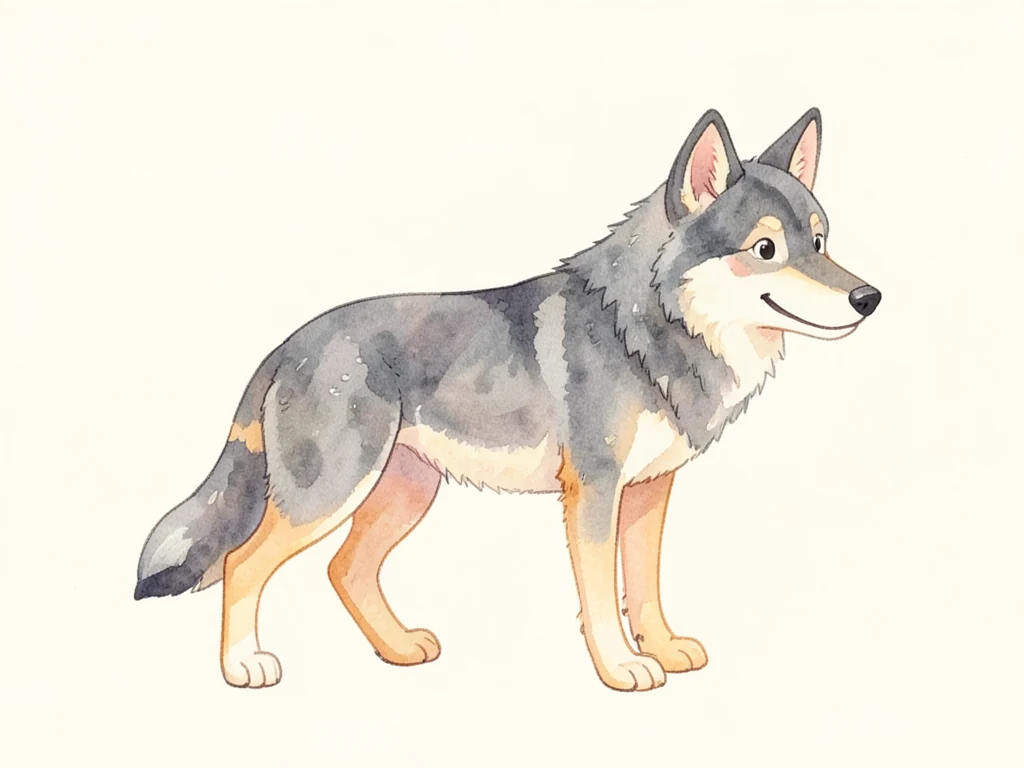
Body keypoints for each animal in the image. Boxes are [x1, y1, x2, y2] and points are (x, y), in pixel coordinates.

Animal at [135, 108, 880, 691]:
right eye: (766, 248)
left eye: (821, 241)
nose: (868, 298)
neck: (647, 332)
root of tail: (288, 345)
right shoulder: (595, 492)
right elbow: (601, 596)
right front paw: (621, 669)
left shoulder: (649, 492)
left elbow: (644, 588)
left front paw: (664, 649)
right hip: (330, 495)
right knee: (243, 562)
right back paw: (243, 666)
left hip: (405, 493)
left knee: (345, 570)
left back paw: (398, 649)